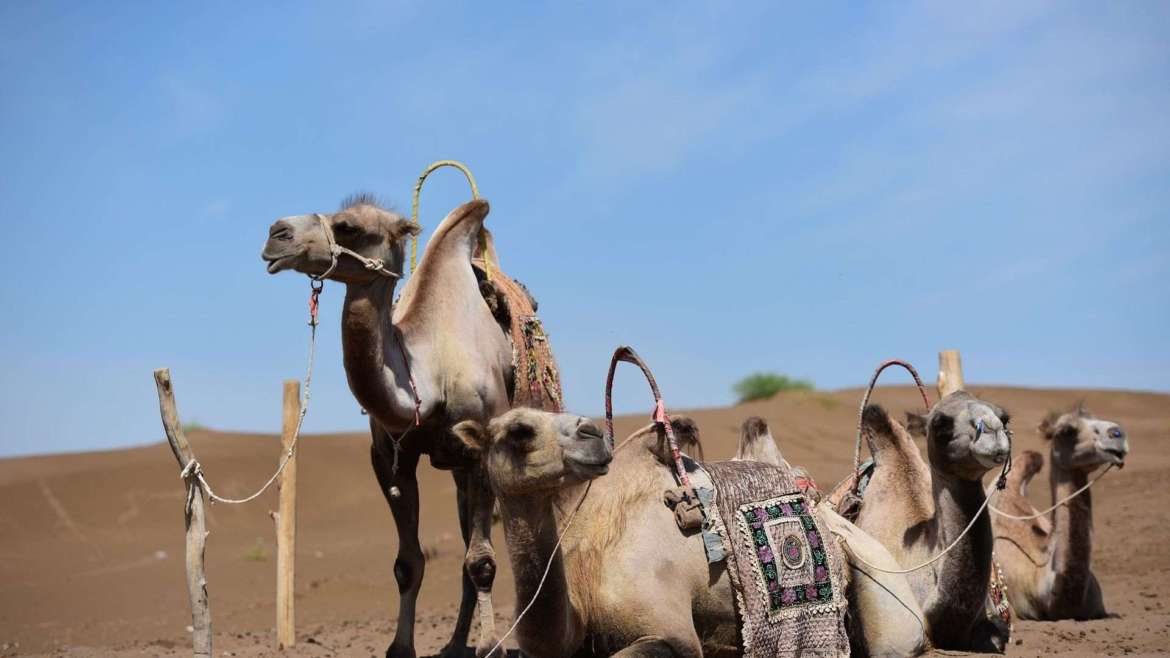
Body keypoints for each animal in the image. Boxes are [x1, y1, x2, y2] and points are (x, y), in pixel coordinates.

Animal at [262, 195, 528, 658]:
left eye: (348, 226)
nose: (276, 234)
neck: (429, 374)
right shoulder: (390, 457)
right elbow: (409, 562)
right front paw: (400, 647)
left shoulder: (482, 451)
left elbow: (482, 561)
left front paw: (490, 644)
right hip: (456, 470)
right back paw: (454, 645)